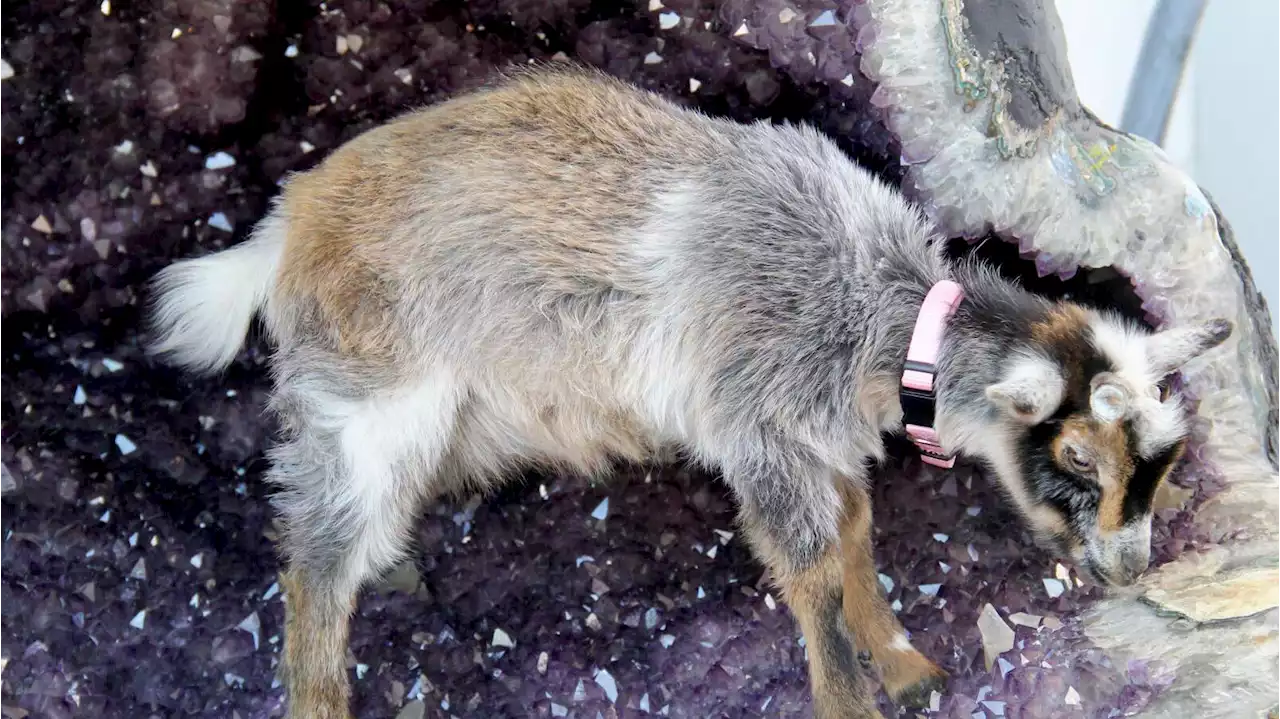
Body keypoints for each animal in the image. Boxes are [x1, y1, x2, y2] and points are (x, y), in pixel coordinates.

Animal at [145, 64, 1233, 711]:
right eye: (1075, 456)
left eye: (1162, 462)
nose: (1128, 565)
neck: (886, 318)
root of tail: (287, 224)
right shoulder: (759, 427)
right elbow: (808, 570)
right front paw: (853, 692)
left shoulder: (821, 438)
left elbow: (854, 537)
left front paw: (905, 663)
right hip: (365, 398)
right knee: (313, 563)